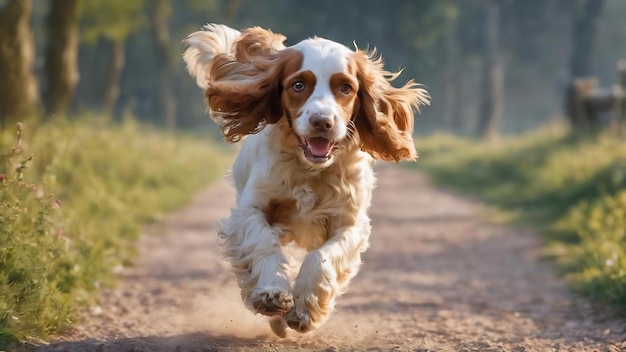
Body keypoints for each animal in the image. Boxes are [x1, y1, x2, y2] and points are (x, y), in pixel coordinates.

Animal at [182, 24, 428, 332]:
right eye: (298, 85)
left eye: (345, 87)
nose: (322, 122)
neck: (310, 171)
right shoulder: (251, 210)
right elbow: (263, 243)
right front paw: (272, 293)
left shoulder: (349, 223)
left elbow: (321, 258)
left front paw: (304, 309)